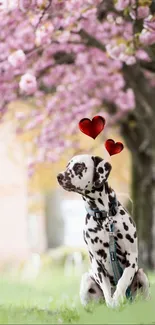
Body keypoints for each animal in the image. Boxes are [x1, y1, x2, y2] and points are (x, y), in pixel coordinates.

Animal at [57, 154, 150, 306]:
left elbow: (123, 281)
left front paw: (117, 298)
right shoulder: (97, 263)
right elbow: (107, 290)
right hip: (86, 279)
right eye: (67, 166)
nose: (59, 176)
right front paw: (112, 304)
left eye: (79, 166)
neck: (104, 217)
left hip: (142, 275)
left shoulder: (131, 258)